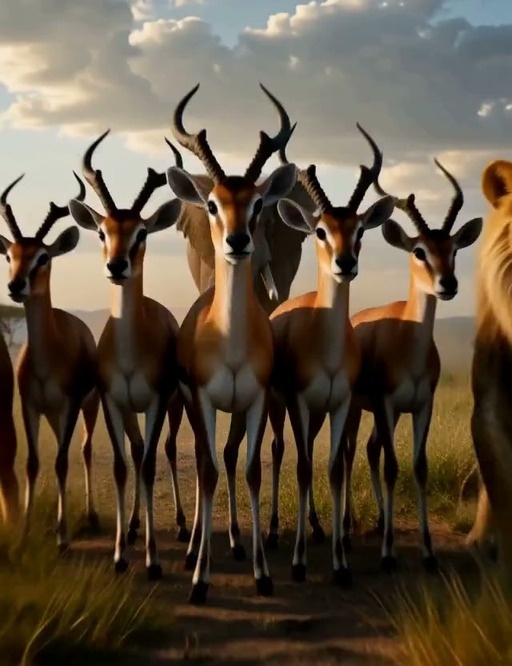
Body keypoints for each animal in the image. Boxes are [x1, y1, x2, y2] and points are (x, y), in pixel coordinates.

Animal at [0, 173, 101, 548]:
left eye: (43, 256)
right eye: (10, 255)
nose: (16, 286)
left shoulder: (70, 404)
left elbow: (61, 462)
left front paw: (62, 537)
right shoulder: (31, 405)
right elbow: (33, 462)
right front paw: (25, 532)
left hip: (88, 406)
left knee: (84, 450)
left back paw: (89, 516)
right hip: (56, 415)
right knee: (63, 449)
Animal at [68, 134, 185, 578]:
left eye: (142, 232)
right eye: (103, 231)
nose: (117, 266)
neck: (131, 354)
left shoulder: (155, 401)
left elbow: (150, 466)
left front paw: (153, 561)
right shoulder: (113, 402)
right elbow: (122, 466)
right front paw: (120, 554)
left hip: (175, 407)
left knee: (165, 451)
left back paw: (182, 526)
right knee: (136, 452)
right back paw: (133, 527)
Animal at [166, 83, 298, 604]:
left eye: (258, 205)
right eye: (214, 205)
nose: (238, 242)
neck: (232, 346)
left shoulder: (256, 400)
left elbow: (251, 470)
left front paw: (263, 574)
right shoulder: (202, 398)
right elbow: (206, 473)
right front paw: (200, 581)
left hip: (236, 411)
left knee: (224, 457)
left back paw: (240, 545)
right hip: (190, 405)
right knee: (205, 462)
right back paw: (191, 552)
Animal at [267, 125, 394, 584]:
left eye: (360, 230)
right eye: (321, 231)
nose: (346, 262)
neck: (327, 350)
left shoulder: (339, 404)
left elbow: (335, 469)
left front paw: (341, 564)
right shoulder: (299, 401)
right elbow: (303, 469)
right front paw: (299, 563)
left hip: (318, 413)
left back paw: (321, 531)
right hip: (279, 406)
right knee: (279, 452)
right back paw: (273, 535)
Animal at [341, 160, 482, 573]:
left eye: (453, 249)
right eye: (419, 251)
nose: (447, 284)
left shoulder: (421, 406)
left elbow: (418, 468)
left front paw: (429, 552)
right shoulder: (387, 404)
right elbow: (393, 467)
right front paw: (389, 554)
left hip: (381, 414)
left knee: (370, 450)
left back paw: (378, 520)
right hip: (357, 408)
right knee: (350, 453)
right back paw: (349, 529)